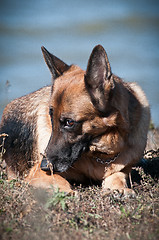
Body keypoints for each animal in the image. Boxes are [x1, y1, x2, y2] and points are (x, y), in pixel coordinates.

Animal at [0, 44, 150, 195]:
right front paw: (67, 191)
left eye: (69, 122)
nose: (45, 166)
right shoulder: (37, 172)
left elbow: (118, 176)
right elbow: (57, 179)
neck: (101, 156)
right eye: (51, 118)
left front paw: (120, 188)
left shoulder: (122, 169)